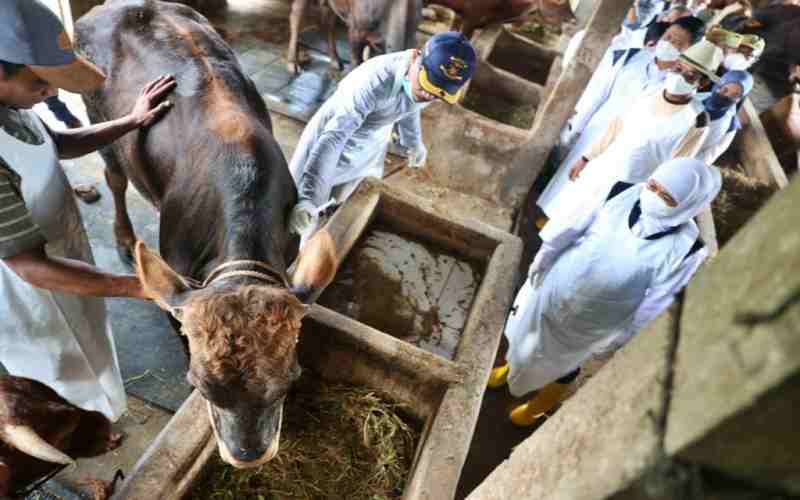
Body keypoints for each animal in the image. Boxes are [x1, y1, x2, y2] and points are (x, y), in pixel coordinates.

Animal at [75, 0, 338, 468]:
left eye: (290, 380)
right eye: (199, 384)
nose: (248, 454)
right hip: (101, 125)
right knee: (115, 178)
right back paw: (122, 238)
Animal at [286, 0, 422, 74]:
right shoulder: (355, 30)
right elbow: (356, 64)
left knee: (328, 21)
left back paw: (335, 61)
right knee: (295, 15)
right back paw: (292, 64)